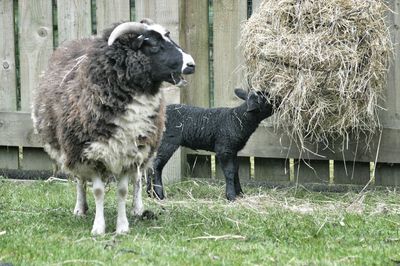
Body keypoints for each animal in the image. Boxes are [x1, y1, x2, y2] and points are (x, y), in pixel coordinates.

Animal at [31, 19, 195, 235]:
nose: (191, 64)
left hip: (143, 149)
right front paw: (99, 228)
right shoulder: (90, 154)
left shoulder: (130, 154)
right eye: (153, 44)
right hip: (72, 149)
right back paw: (80, 208)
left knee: (138, 178)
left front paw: (122, 226)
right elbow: (98, 191)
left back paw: (137, 208)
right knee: (79, 180)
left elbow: (123, 190)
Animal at [147, 88, 282, 201]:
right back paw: (159, 194)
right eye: (267, 99)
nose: (280, 99)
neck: (238, 120)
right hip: (167, 141)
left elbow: (235, 170)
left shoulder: (233, 150)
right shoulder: (224, 149)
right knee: (156, 165)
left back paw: (150, 193)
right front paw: (231, 196)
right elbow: (229, 171)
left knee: (149, 166)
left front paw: (240, 194)